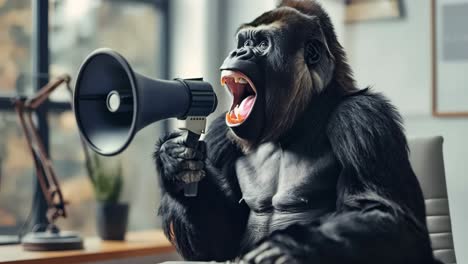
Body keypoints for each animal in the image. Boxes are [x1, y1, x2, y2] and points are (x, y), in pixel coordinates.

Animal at [155, 1, 440, 262]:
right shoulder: (219, 133)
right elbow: (218, 242)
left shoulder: (363, 117)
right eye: (244, 41)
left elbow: (395, 219)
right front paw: (174, 164)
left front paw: (291, 247)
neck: (298, 120)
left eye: (262, 44)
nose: (238, 51)